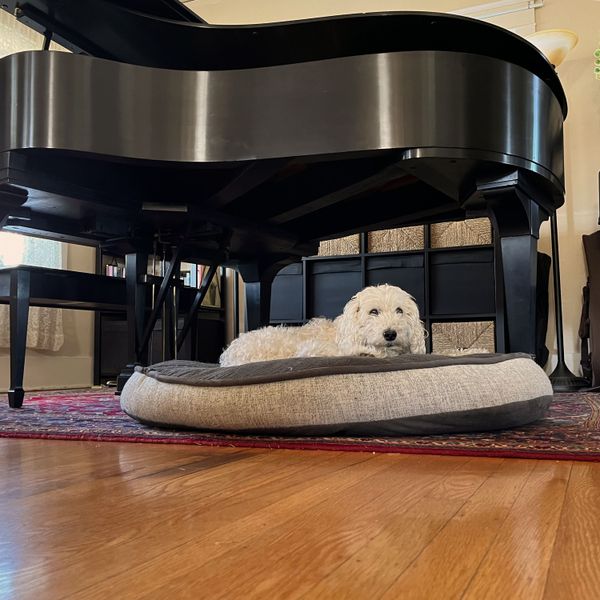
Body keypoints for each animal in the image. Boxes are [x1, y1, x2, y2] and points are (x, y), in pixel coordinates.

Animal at [219, 284, 426, 366]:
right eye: (373, 312)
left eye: (399, 310)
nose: (390, 334)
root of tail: (228, 355)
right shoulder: (311, 349)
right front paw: (366, 352)